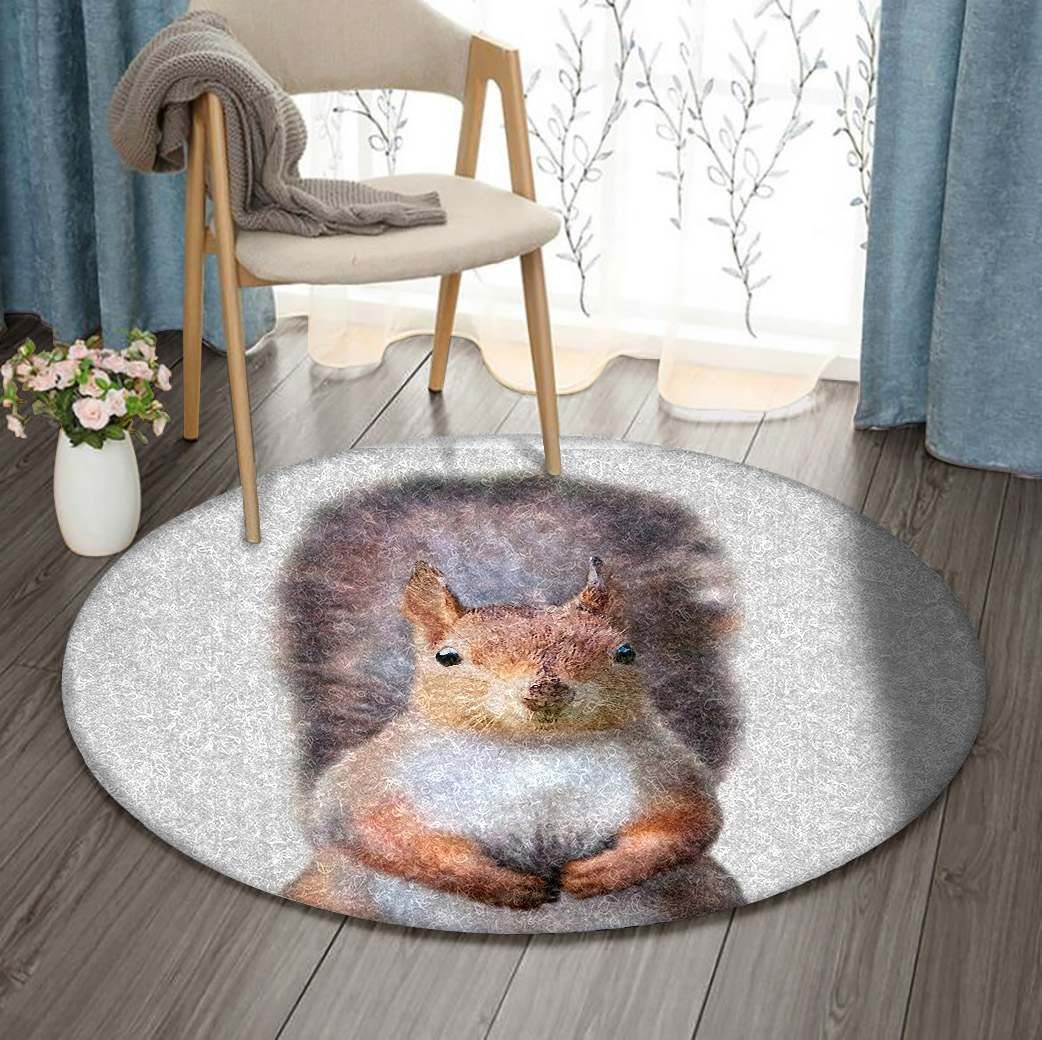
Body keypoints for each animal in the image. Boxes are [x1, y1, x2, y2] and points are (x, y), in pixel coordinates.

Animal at [278, 476, 743, 931]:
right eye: (447, 657)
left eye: (626, 652)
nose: (546, 689)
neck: (533, 750)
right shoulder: (377, 777)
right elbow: (364, 827)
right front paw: (502, 885)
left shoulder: (665, 772)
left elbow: (690, 822)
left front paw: (597, 874)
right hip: (332, 889)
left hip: (706, 891)